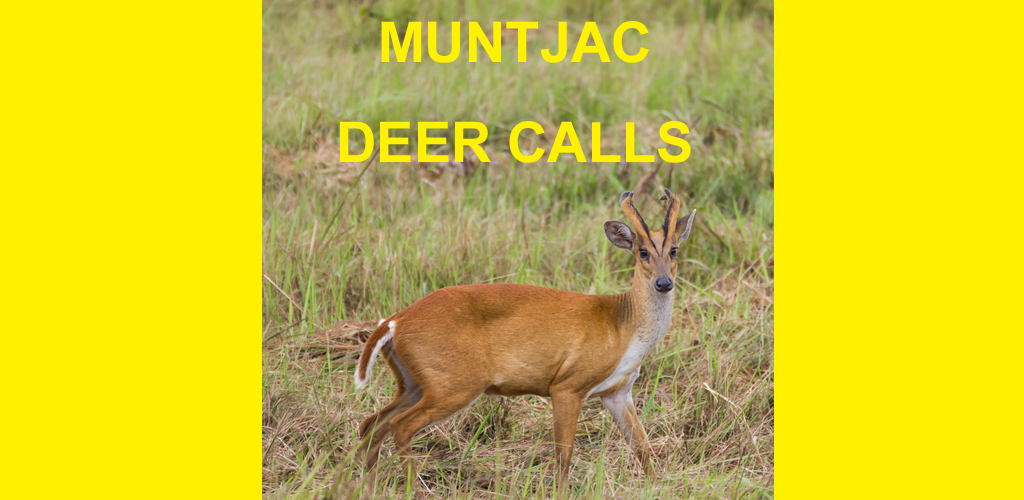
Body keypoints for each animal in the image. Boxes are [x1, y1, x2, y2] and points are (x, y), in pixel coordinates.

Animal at [350, 188, 696, 489]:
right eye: (642, 251)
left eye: (674, 250)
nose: (664, 283)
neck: (623, 326)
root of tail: (394, 322)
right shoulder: (568, 385)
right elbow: (564, 454)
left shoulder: (618, 391)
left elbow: (642, 447)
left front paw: (656, 487)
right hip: (455, 383)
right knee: (399, 425)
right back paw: (409, 487)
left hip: (414, 383)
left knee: (372, 424)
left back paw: (365, 486)